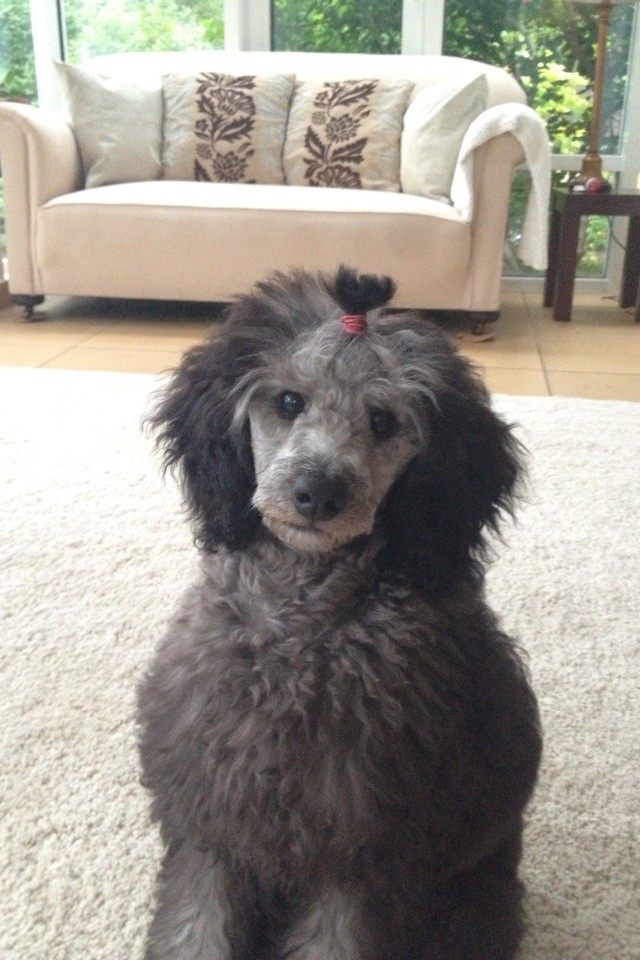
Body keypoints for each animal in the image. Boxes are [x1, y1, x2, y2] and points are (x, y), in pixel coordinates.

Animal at [138, 266, 544, 960]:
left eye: (383, 421)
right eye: (288, 402)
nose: (317, 493)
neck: (302, 629)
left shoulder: (364, 851)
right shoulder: (211, 820)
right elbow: (193, 929)